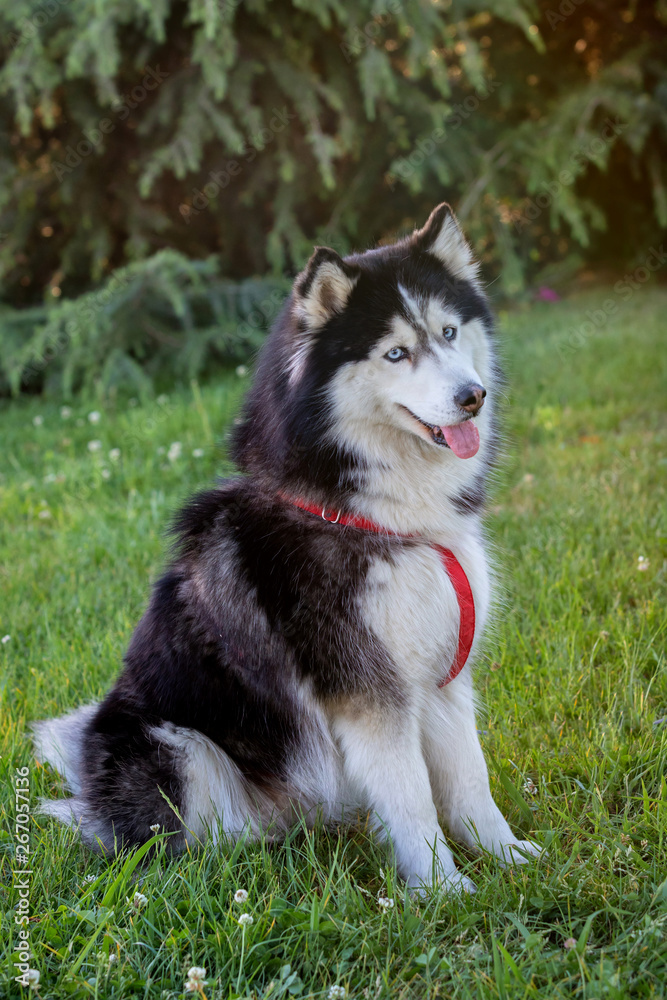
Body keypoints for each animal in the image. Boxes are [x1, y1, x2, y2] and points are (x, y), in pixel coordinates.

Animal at [34, 205, 540, 892]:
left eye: (450, 331)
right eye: (396, 352)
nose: (472, 396)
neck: (378, 517)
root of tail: (88, 791)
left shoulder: (440, 674)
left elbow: (470, 782)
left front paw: (506, 857)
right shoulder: (368, 689)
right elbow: (412, 798)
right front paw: (444, 888)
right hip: (174, 745)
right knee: (202, 839)